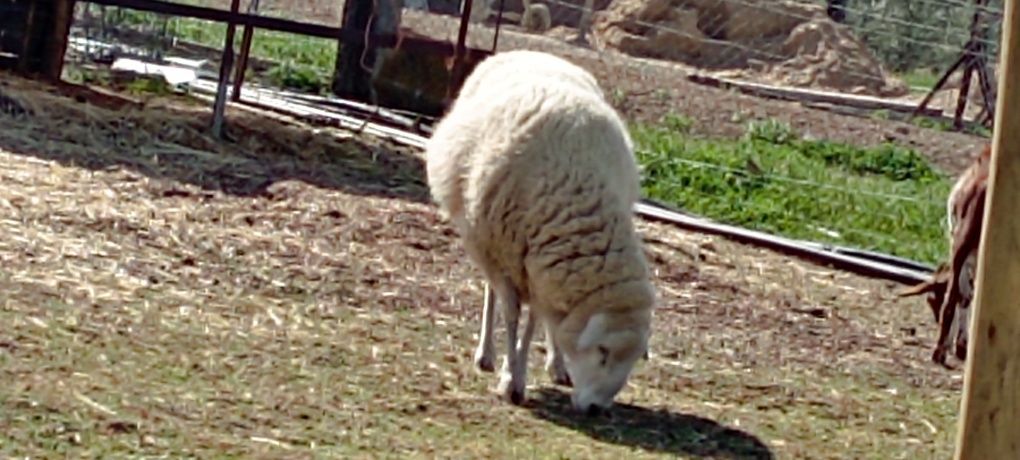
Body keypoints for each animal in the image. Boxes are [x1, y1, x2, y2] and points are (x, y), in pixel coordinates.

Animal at [426, 50, 656, 414]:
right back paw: (486, 354)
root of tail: (534, 52)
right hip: (485, 243)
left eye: (632, 361)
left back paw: (557, 365)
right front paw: (511, 380)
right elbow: (512, 315)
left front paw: (523, 371)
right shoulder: (508, 255)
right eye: (603, 352)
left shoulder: (538, 267)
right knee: (491, 293)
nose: (596, 409)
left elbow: (537, 319)